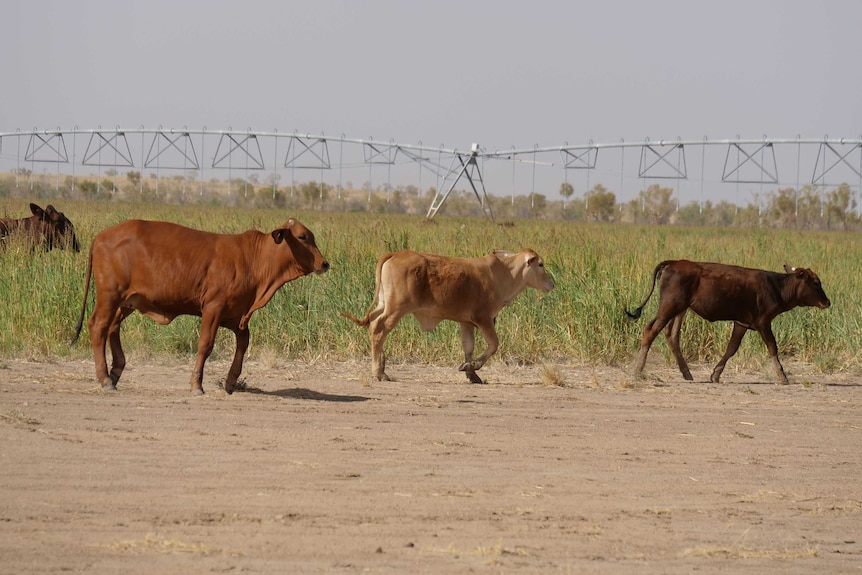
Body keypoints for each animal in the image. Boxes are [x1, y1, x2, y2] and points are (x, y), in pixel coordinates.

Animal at [72, 218, 330, 394]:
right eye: (302, 237)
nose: (324, 263)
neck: (253, 259)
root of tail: (101, 236)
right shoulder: (213, 308)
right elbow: (205, 345)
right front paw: (196, 383)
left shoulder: (237, 316)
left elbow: (243, 344)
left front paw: (230, 382)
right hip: (110, 296)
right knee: (99, 326)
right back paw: (105, 378)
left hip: (127, 302)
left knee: (112, 327)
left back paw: (115, 372)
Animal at [340, 250, 556, 384]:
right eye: (541, 264)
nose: (551, 284)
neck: (503, 274)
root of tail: (396, 253)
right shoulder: (484, 319)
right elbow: (493, 344)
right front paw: (474, 366)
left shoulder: (466, 323)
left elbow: (468, 348)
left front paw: (471, 372)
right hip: (395, 310)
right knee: (378, 331)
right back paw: (380, 372)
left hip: (384, 305)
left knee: (373, 324)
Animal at [628, 260, 832, 382]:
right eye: (816, 282)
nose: (827, 302)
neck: (776, 286)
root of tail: (673, 262)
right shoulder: (763, 322)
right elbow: (772, 347)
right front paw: (782, 376)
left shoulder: (741, 323)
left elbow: (731, 348)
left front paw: (716, 373)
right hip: (669, 307)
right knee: (650, 330)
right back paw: (638, 369)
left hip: (679, 309)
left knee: (671, 335)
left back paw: (686, 373)